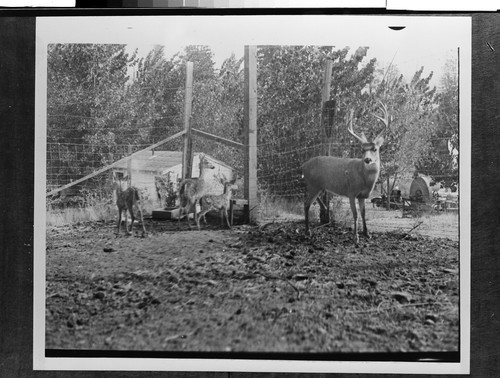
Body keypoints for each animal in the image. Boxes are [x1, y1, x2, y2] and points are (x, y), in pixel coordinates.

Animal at [302, 102, 388, 245]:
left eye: (375, 149)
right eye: (362, 149)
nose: (367, 159)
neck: (365, 180)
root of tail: (303, 166)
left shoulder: (362, 196)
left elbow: (364, 213)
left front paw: (367, 233)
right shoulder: (351, 192)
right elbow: (355, 214)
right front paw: (355, 237)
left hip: (317, 186)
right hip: (313, 185)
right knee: (306, 204)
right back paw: (307, 231)